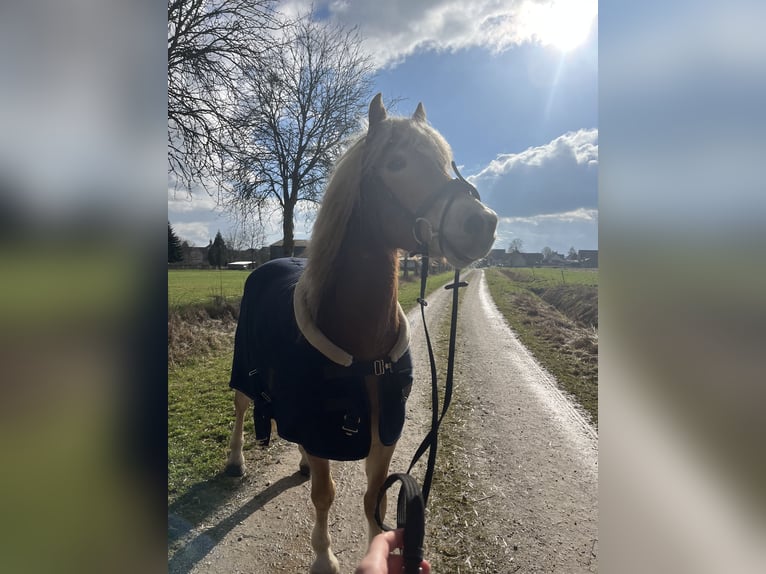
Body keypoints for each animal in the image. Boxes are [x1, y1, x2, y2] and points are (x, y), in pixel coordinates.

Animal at [224, 92, 498, 572]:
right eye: (396, 163)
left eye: (447, 162)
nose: (481, 223)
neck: (364, 348)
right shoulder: (322, 429)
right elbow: (324, 494)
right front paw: (323, 558)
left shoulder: (384, 430)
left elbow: (375, 498)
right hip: (245, 372)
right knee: (241, 407)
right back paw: (237, 460)